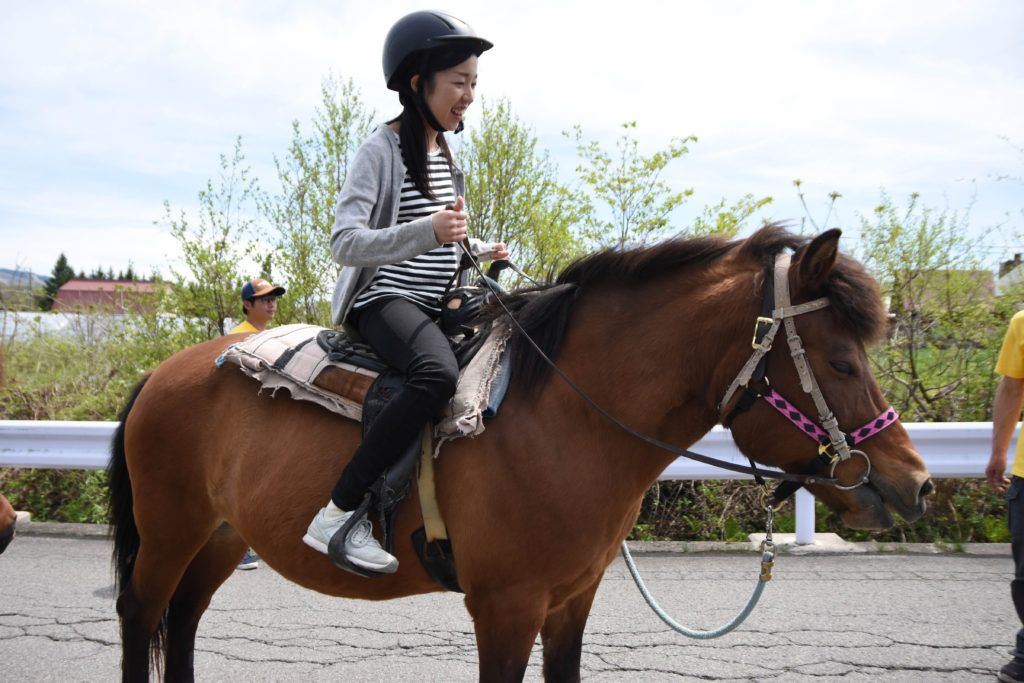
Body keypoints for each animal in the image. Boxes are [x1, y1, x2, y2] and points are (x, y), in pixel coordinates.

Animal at [108, 225, 933, 683]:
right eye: (841, 361)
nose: (917, 482)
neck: (565, 418)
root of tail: (163, 372)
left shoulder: (571, 601)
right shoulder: (504, 607)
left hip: (222, 533)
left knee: (183, 618)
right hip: (170, 530)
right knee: (141, 612)